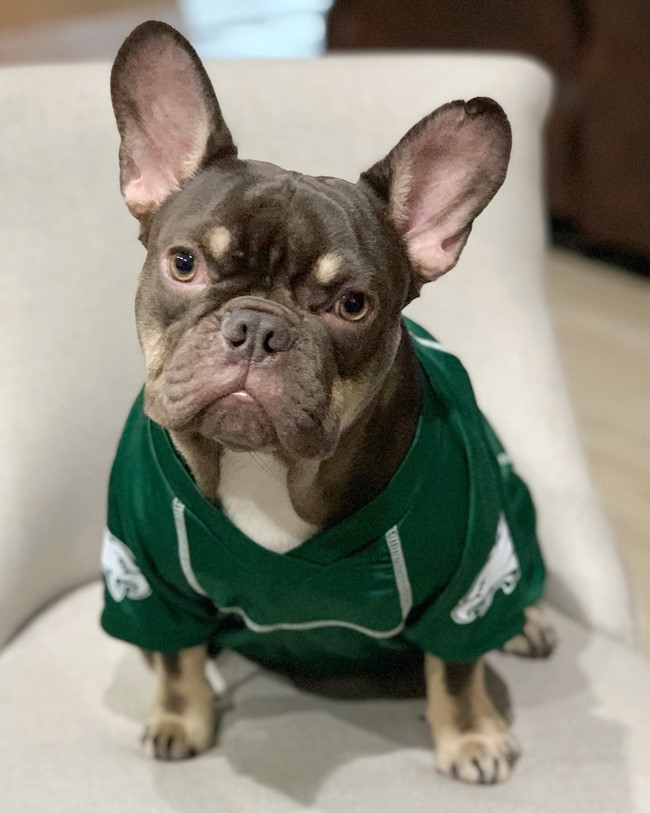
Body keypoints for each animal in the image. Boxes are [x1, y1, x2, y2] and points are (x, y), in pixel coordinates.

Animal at [98, 20, 556, 780]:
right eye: (184, 264)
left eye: (351, 305)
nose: (257, 329)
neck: (267, 469)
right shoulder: (147, 573)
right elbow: (174, 654)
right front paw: (179, 716)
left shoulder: (467, 574)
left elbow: (458, 664)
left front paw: (470, 735)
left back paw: (533, 620)